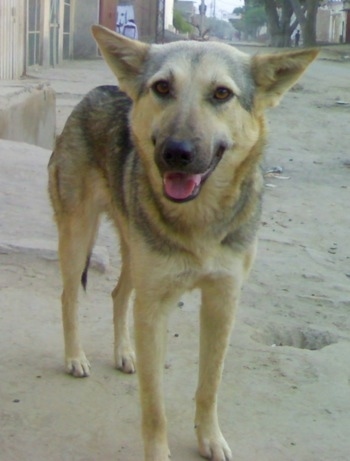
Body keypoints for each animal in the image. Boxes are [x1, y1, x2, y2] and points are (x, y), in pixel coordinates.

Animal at [47, 25, 318, 460]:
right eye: (162, 87)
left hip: (133, 252)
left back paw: (124, 353)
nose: (176, 153)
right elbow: (154, 403)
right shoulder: (155, 305)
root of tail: (99, 89)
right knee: (69, 296)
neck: (199, 220)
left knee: (119, 294)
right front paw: (159, 451)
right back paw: (76, 357)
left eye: (221, 93)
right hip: (77, 236)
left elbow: (210, 384)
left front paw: (210, 438)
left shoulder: (222, 300)